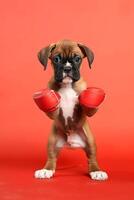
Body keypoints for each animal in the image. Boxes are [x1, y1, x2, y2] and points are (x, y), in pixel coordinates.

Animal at [33, 39, 108, 180]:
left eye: (77, 59)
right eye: (56, 59)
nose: (67, 68)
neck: (67, 85)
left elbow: (88, 107)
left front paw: (90, 98)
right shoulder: (53, 111)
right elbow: (51, 108)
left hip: (90, 140)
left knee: (92, 158)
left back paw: (96, 171)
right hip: (52, 141)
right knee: (52, 158)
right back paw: (46, 170)